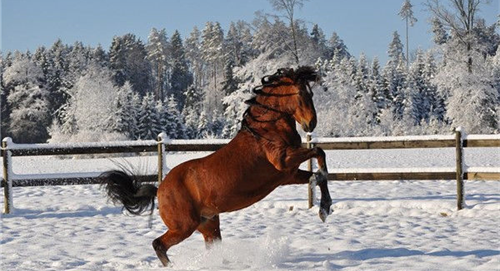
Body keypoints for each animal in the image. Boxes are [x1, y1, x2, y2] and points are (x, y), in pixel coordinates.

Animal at [100, 66, 332, 268]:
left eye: (311, 93)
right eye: (301, 93)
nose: (311, 123)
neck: (266, 130)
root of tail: (160, 189)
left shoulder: (288, 175)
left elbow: (318, 175)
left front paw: (325, 208)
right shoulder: (283, 160)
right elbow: (319, 152)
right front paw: (324, 205)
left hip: (208, 224)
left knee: (210, 246)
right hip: (184, 226)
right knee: (158, 244)